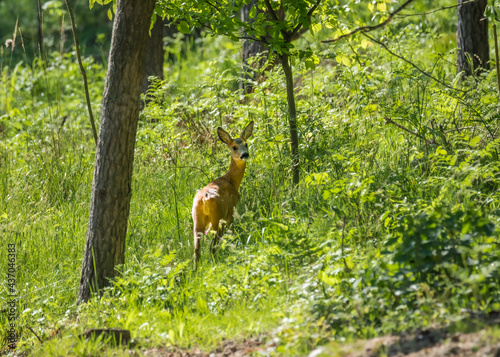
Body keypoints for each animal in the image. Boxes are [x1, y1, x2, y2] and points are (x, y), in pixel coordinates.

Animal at [191, 121, 254, 266]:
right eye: (234, 147)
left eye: (246, 144)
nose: (245, 154)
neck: (231, 180)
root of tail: (203, 200)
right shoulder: (231, 208)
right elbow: (232, 231)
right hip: (217, 217)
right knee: (212, 246)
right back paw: (215, 263)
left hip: (197, 219)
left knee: (196, 250)